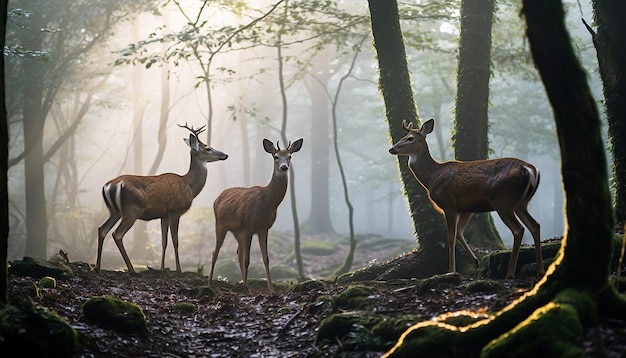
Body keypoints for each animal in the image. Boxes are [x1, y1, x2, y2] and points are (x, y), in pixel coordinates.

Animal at [95, 123, 227, 274]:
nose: (225, 155)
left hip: (114, 211)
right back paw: (131, 269)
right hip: (132, 209)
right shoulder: (175, 209)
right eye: (208, 148)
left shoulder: (164, 214)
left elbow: (164, 241)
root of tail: (109, 185)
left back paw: (97, 267)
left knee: (102, 229)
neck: (190, 186)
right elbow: (175, 240)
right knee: (117, 234)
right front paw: (179, 270)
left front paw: (163, 268)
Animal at [208, 138, 304, 292]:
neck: (268, 202)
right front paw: (248, 288)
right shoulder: (248, 226)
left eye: (290, 156)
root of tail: (217, 198)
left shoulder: (263, 228)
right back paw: (210, 283)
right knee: (215, 252)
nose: (284, 167)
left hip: (237, 231)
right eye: (276, 157)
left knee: (238, 252)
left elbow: (266, 259)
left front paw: (271, 289)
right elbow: (247, 260)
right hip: (220, 224)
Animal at [388, 119, 544, 278]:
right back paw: (540, 270)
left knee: (518, 229)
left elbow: (451, 237)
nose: (391, 149)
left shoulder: (449, 204)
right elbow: (459, 232)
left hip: (503, 200)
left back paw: (510, 273)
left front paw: (451, 271)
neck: (431, 178)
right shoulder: (466, 208)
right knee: (535, 225)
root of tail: (530, 169)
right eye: (403, 136)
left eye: (410, 138)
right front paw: (475, 262)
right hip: (520, 203)